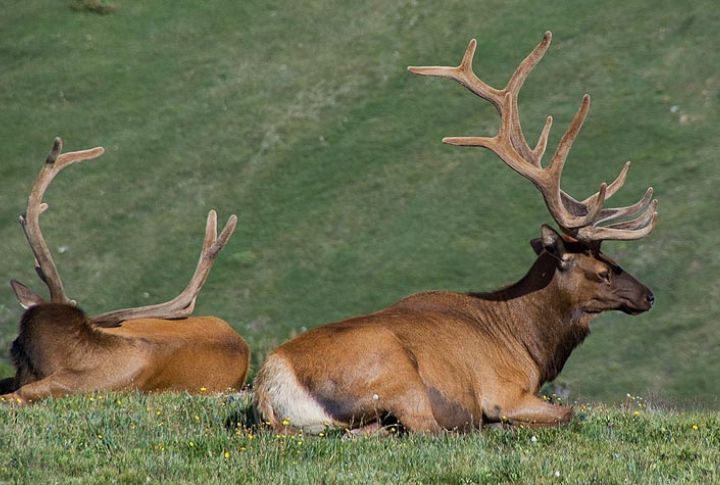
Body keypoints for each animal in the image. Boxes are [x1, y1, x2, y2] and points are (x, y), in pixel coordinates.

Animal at [254, 31, 657, 434]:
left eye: (613, 260)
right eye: (603, 272)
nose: (649, 296)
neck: (528, 345)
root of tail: (270, 386)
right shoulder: (503, 390)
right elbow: (570, 412)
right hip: (398, 375)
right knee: (426, 428)